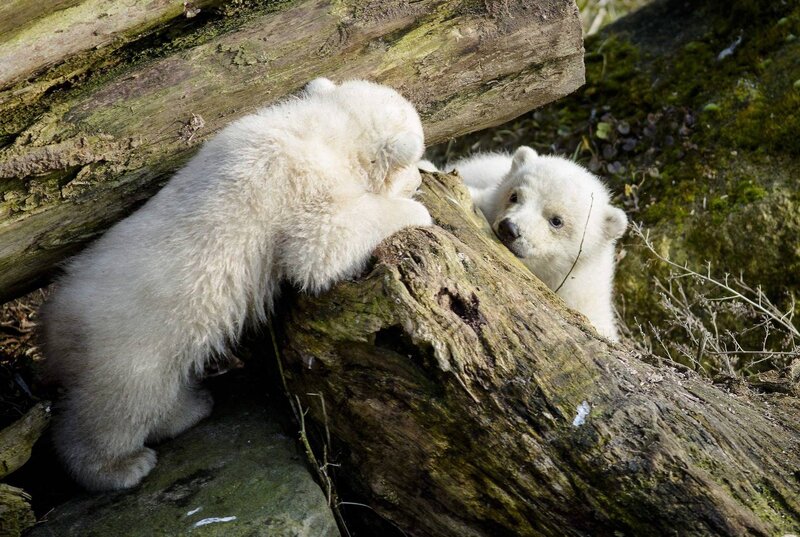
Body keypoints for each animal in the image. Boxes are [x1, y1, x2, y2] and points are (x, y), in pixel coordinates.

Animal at [40, 78, 432, 491]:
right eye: (414, 160)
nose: (421, 178)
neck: (321, 130)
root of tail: (52, 321)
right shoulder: (302, 183)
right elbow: (319, 247)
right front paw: (416, 211)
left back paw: (193, 407)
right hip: (127, 346)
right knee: (119, 406)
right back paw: (121, 467)